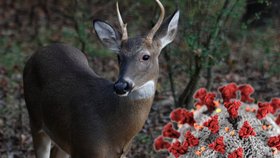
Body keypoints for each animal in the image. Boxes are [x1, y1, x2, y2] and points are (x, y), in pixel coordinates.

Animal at [23, 0, 178, 157]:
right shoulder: (83, 147)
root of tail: (38, 52)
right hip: (35, 118)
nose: (121, 86)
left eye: (146, 56)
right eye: (119, 56)